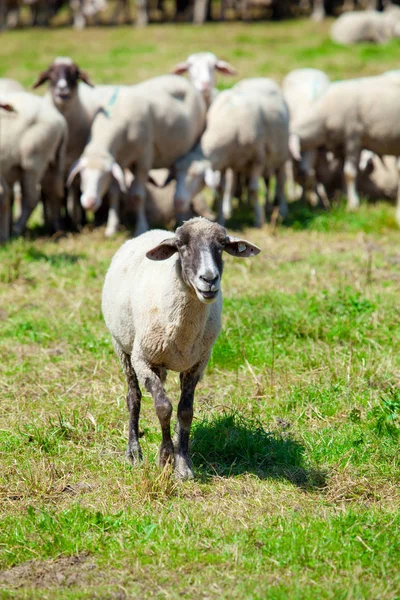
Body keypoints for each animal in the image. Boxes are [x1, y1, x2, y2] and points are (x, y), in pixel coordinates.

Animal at [67, 77, 206, 239]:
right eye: (82, 175)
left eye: (103, 177)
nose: (89, 202)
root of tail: (180, 79)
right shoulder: (119, 162)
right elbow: (114, 194)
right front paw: (112, 228)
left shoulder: (143, 158)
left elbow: (138, 195)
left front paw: (141, 228)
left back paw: (182, 217)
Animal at [101, 218, 260, 480]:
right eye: (181, 245)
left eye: (222, 245)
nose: (209, 279)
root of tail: (150, 232)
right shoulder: (143, 359)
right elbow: (163, 407)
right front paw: (165, 457)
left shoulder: (197, 364)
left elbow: (185, 412)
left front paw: (183, 463)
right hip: (123, 348)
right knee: (133, 397)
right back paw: (134, 451)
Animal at [202, 75, 290, 225]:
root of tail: (260, 79)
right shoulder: (224, 164)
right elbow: (222, 189)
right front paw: (221, 219)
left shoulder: (257, 158)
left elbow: (254, 189)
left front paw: (259, 221)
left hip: (281, 154)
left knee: (281, 180)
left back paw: (283, 209)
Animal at [290, 75, 400, 223]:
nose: (300, 173)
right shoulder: (341, 144)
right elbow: (343, 173)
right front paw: (343, 199)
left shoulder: (353, 137)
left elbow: (349, 173)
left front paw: (352, 204)